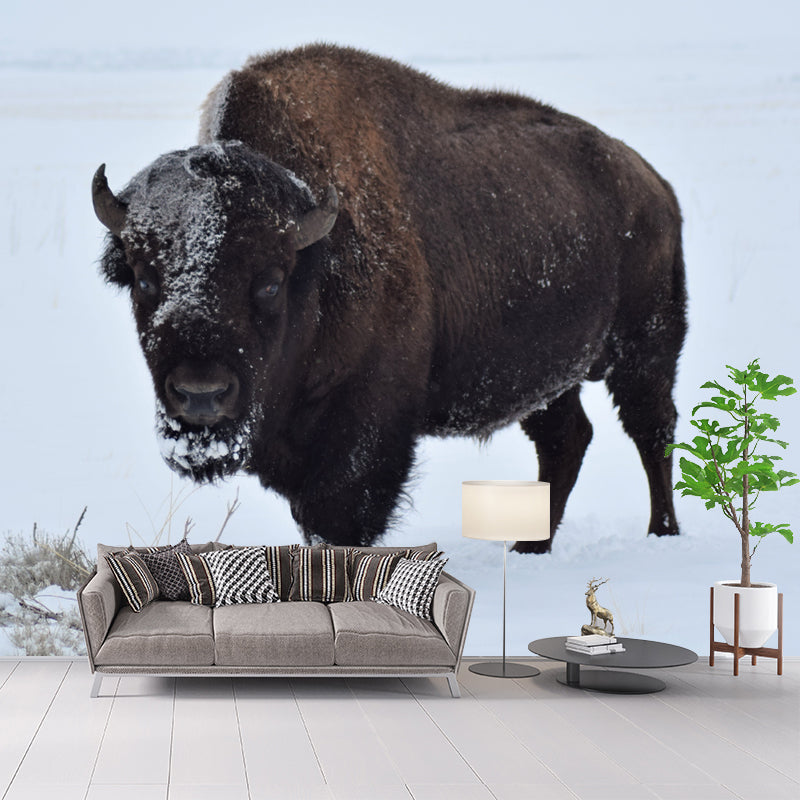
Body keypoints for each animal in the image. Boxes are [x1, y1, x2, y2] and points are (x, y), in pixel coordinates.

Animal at [93, 44, 687, 552]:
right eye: (144, 279)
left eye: (270, 281)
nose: (201, 394)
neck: (315, 256)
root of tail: (654, 186)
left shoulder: (364, 431)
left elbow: (340, 515)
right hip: (548, 376)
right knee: (566, 440)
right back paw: (529, 547)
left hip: (646, 350)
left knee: (651, 430)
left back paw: (661, 534)